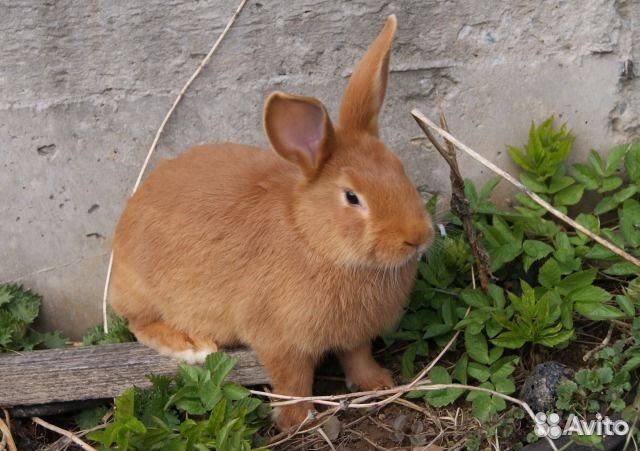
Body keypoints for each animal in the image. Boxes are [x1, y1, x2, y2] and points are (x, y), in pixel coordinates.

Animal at [109, 15, 436, 430]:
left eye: (400, 168)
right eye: (352, 197)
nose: (417, 237)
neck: (312, 238)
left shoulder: (354, 335)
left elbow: (357, 356)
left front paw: (377, 383)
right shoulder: (279, 340)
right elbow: (292, 379)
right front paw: (298, 420)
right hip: (143, 290)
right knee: (138, 324)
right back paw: (192, 346)